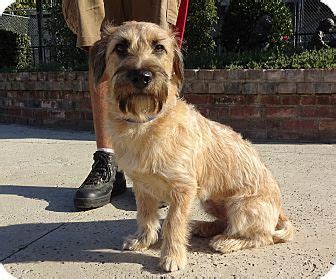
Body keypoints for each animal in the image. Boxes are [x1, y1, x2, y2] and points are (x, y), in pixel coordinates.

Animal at [90, 21, 294, 274]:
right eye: (120, 47)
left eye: (159, 47)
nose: (142, 76)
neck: (146, 123)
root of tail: (279, 210)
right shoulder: (143, 186)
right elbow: (145, 216)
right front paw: (142, 240)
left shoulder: (183, 190)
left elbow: (173, 223)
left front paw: (172, 256)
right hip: (210, 200)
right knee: (224, 222)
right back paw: (204, 228)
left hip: (240, 206)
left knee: (261, 236)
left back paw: (228, 241)